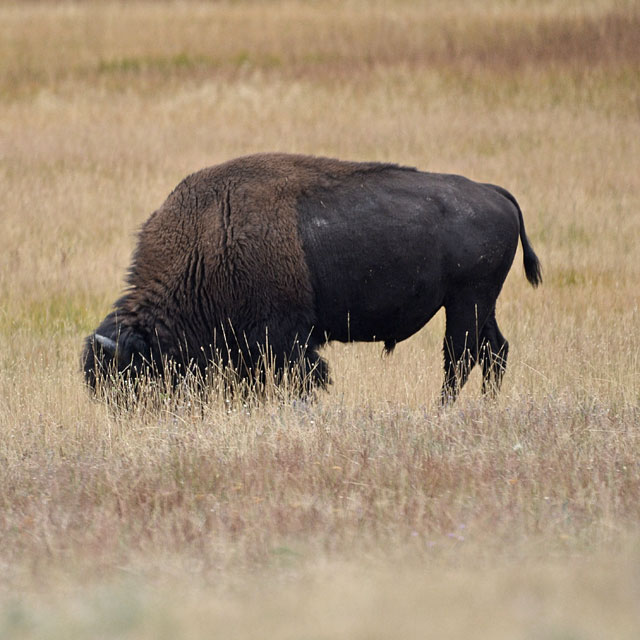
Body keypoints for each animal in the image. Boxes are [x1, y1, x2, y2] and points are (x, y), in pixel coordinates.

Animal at [84, 151, 540, 400]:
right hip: (479, 305)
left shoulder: (284, 340)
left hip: (466, 302)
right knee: (494, 351)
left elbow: (302, 380)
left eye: (132, 376)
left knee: (459, 359)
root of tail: (494, 192)